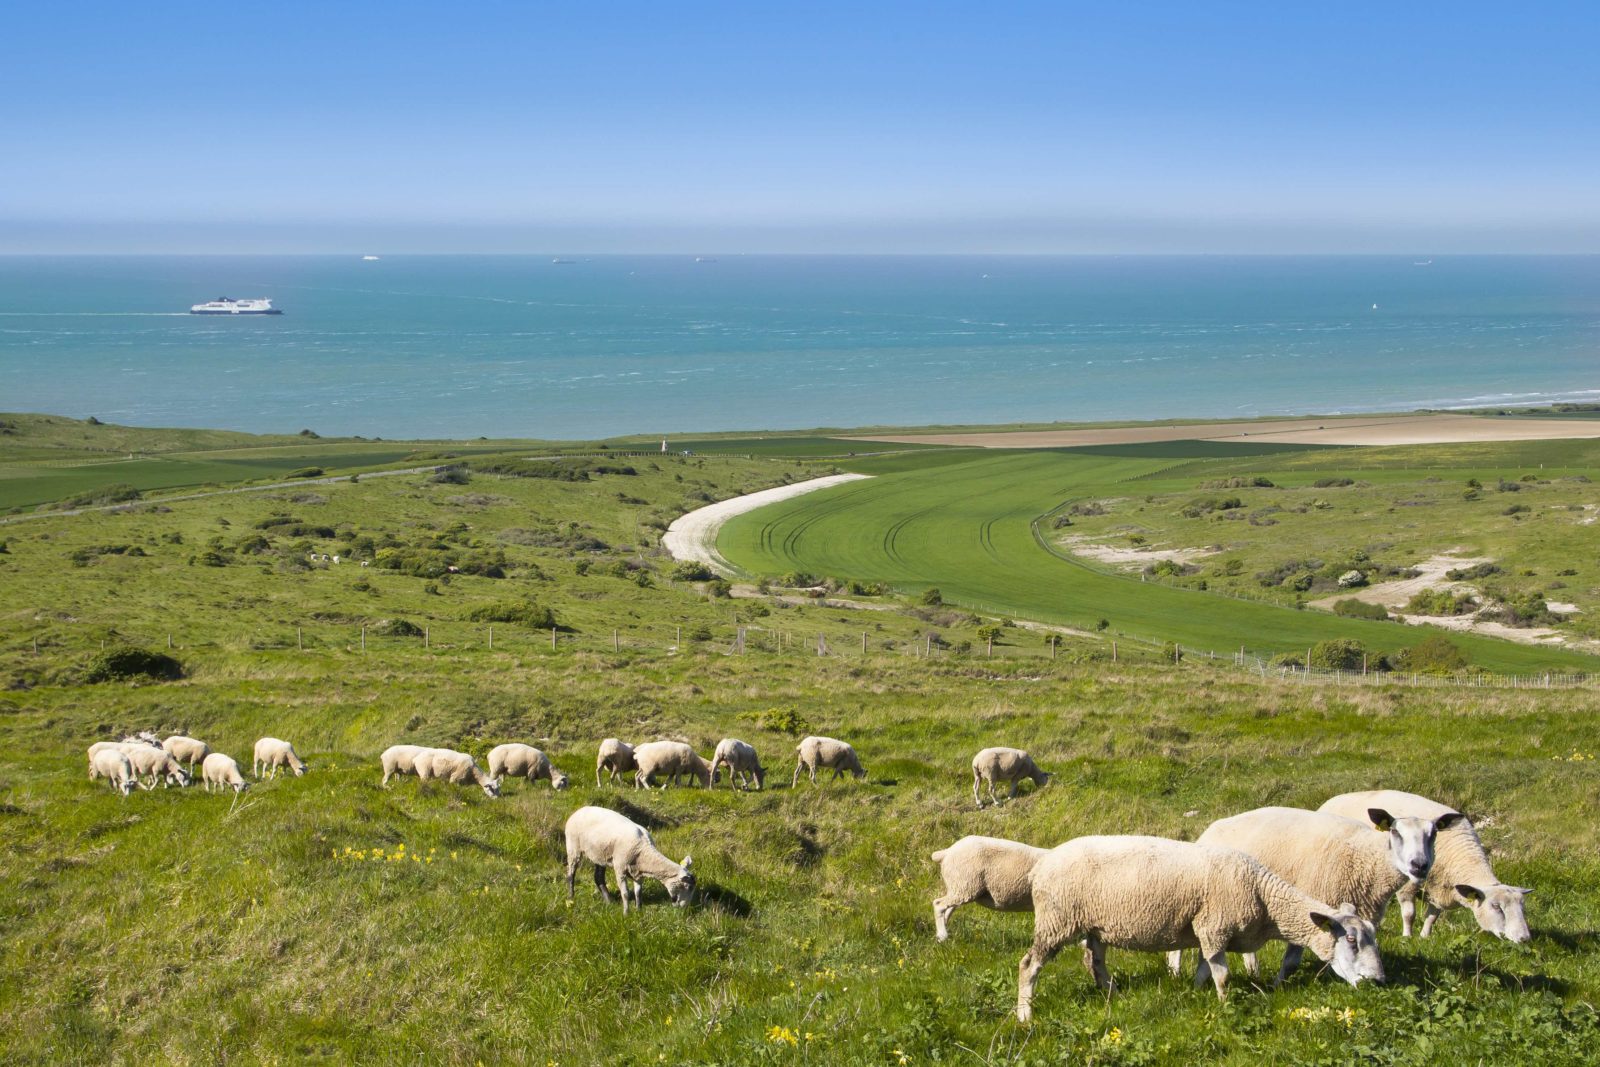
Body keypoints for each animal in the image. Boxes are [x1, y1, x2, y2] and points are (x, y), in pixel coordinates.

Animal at [563, 806, 694, 915]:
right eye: (687, 887)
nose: (684, 909)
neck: (644, 850)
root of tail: (579, 810)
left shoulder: (638, 872)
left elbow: (638, 892)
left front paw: (639, 910)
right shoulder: (620, 868)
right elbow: (625, 893)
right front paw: (626, 914)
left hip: (599, 854)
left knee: (598, 877)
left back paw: (609, 901)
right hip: (573, 847)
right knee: (571, 873)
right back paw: (571, 897)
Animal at [1017, 831, 1382, 1023]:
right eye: (1351, 939)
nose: (1378, 981)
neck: (1264, 897)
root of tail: (1041, 866)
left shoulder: (1208, 932)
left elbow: (1204, 969)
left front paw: (1194, 994)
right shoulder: (1213, 927)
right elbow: (1222, 975)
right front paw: (1226, 1008)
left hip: (1095, 925)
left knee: (1094, 961)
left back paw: (1113, 995)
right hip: (1056, 919)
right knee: (1028, 964)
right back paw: (1025, 1014)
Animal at [1190, 799, 1465, 985]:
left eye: (1434, 834)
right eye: (1395, 832)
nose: (1419, 865)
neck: (1367, 858)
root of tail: (1212, 829)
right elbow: (1291, 962)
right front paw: (1278, 986)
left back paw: (1252, 970)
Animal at [1318, 783, 1529, 940]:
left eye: (1522, 908)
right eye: (1496, 907)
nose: (1524, 938)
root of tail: (1330, 801)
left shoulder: (1440, 889)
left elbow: (1432, 916)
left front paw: (1425, 936)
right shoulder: (1408, 884)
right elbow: (1409, 914)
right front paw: (1407, 936)